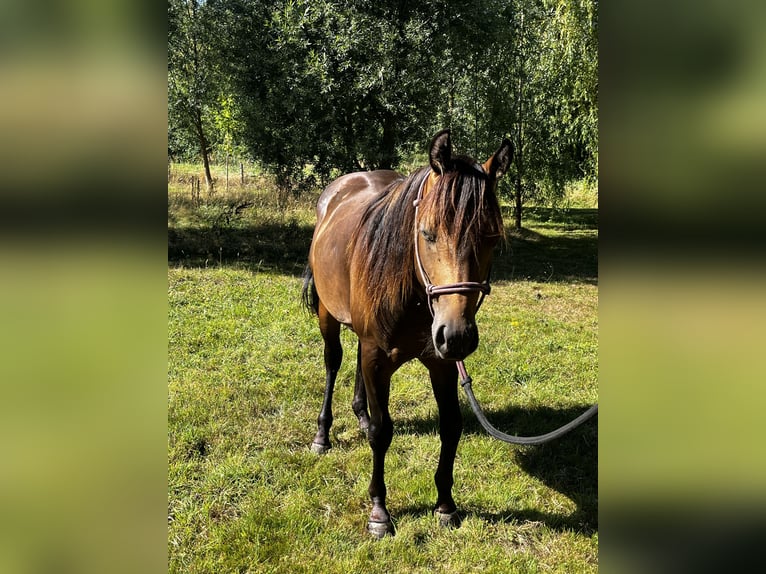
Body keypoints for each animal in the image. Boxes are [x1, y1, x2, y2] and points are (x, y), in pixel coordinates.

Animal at [302, 129, 513, 537]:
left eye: (492, 239)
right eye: (427, 233)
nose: (457, 335)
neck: (412, 292)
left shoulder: (442, 363)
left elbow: (451, 426)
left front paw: (445, 504)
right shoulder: (378, 356)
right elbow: (382, 433)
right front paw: (379, 512)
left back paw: (361, 414)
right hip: (327, 317)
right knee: (333, 363)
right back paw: (322, 435)